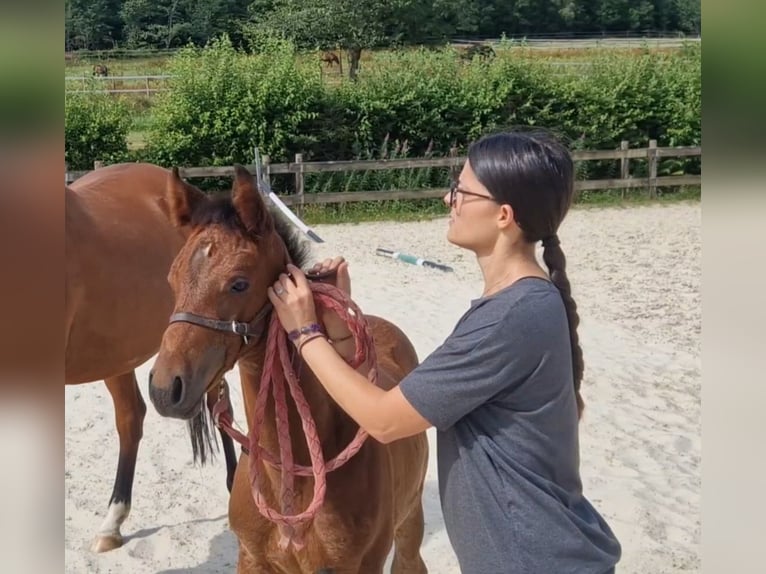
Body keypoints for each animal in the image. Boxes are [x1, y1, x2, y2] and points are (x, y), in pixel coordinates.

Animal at [148, 165, 429, 573]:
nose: (165, 389)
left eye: (239, 283)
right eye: (172, 279)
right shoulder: (251, 559)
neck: (294, 485)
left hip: (409, 523)